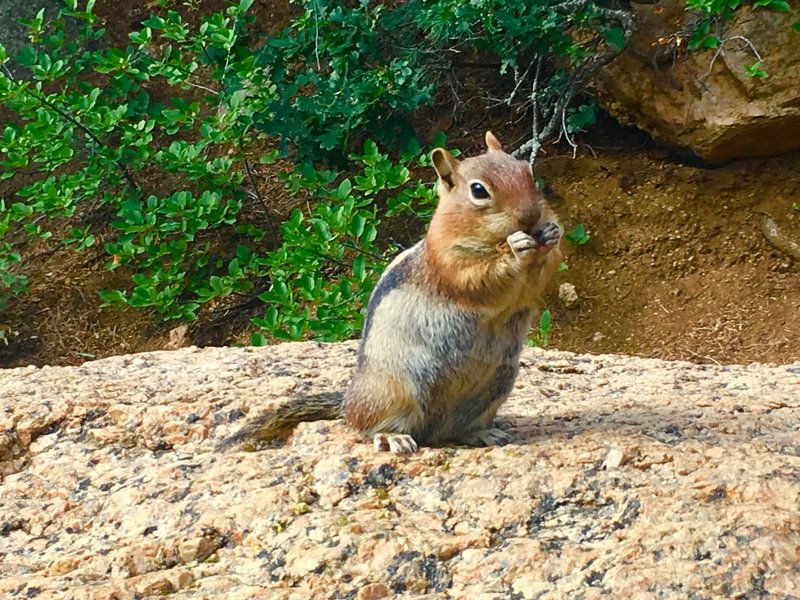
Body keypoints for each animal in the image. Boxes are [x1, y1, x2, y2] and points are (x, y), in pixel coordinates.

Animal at [222, 130, 564, 450]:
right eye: (478, 190)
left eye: (527, 170)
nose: (531, 215)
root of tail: (347, 401)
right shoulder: (448, 262)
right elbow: (478, 279)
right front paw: (516, 247)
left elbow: (539, 278)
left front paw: (552, 232)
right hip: (394, 392)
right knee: (365, 425)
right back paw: (393, 437)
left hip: (496, 387)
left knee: (455, 429)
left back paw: (482, 433)